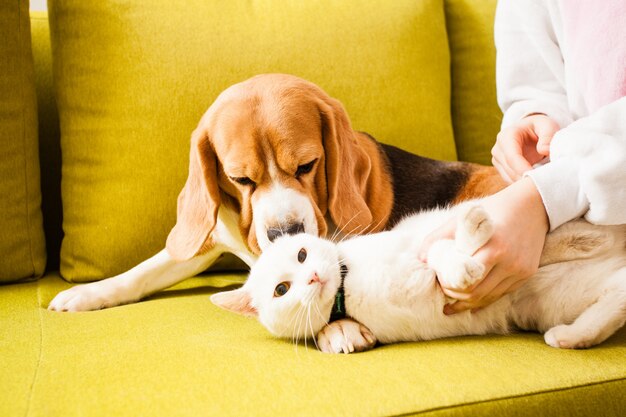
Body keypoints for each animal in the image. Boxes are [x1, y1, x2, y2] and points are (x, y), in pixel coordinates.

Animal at [50, 73, 502, 346]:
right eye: (240, 179)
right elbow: (143, 272)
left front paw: (340, 327)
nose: (285, 233)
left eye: (306, 165)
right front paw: (89, 293)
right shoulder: (209, 239)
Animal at [211, 203, 624, 352]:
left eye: (302, 254)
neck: (349, 285)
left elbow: (444, 252)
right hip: (555, 301)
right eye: (282, 289)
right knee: (618, 294)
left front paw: (464, 260)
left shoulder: (419, 239)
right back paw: (570, 337)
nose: (312, 277)